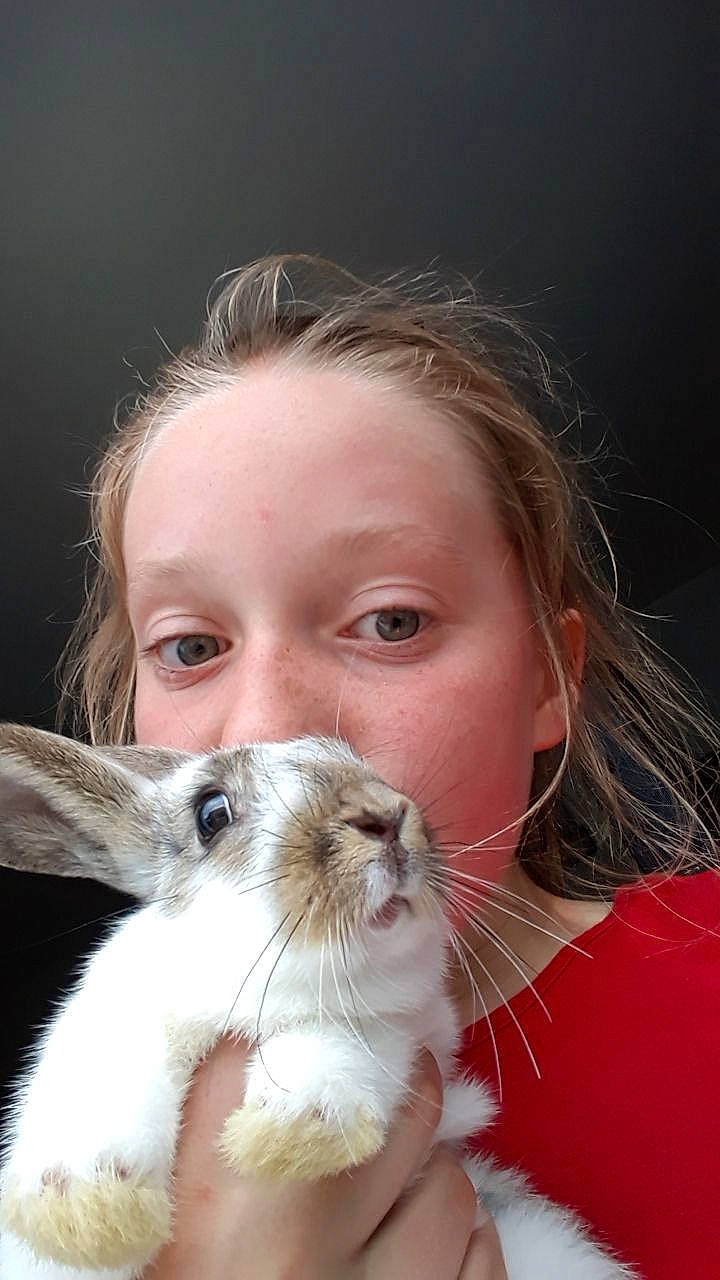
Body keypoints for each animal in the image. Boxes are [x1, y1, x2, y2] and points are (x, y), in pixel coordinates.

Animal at [0, 724, 635, 1279]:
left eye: (364, 763)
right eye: (211, 814)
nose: (386, 815)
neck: (265, 986)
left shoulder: (401, 1024)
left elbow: (338, 1042)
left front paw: (291, 1136)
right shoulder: (123, 1008)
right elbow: (103, 1086)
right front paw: (90, 1219)